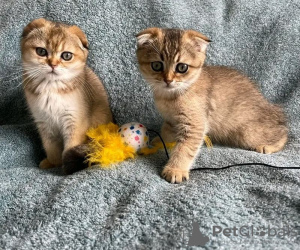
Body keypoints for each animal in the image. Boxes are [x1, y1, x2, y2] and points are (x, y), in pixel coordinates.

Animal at [21, 18, 112, 174]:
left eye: (66, 55)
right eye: (41, 51)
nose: (53, 64)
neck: (51, 89)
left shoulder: (74, 122)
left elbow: (70, 146)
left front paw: (65, 167)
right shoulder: (44, 123)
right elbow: (50, 147)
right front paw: (53, 163)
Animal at [136, 27, 288, 184]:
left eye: (182, 67)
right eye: (156, 65)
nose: (168, 80)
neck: (171, 96)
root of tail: (272, 108)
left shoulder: (195, 125)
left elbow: (184, 149)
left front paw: (175, 169)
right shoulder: (171, 120)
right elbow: (166, 132)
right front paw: (158, 142)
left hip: (248, 133)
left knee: (283, 132)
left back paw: (268, 146)